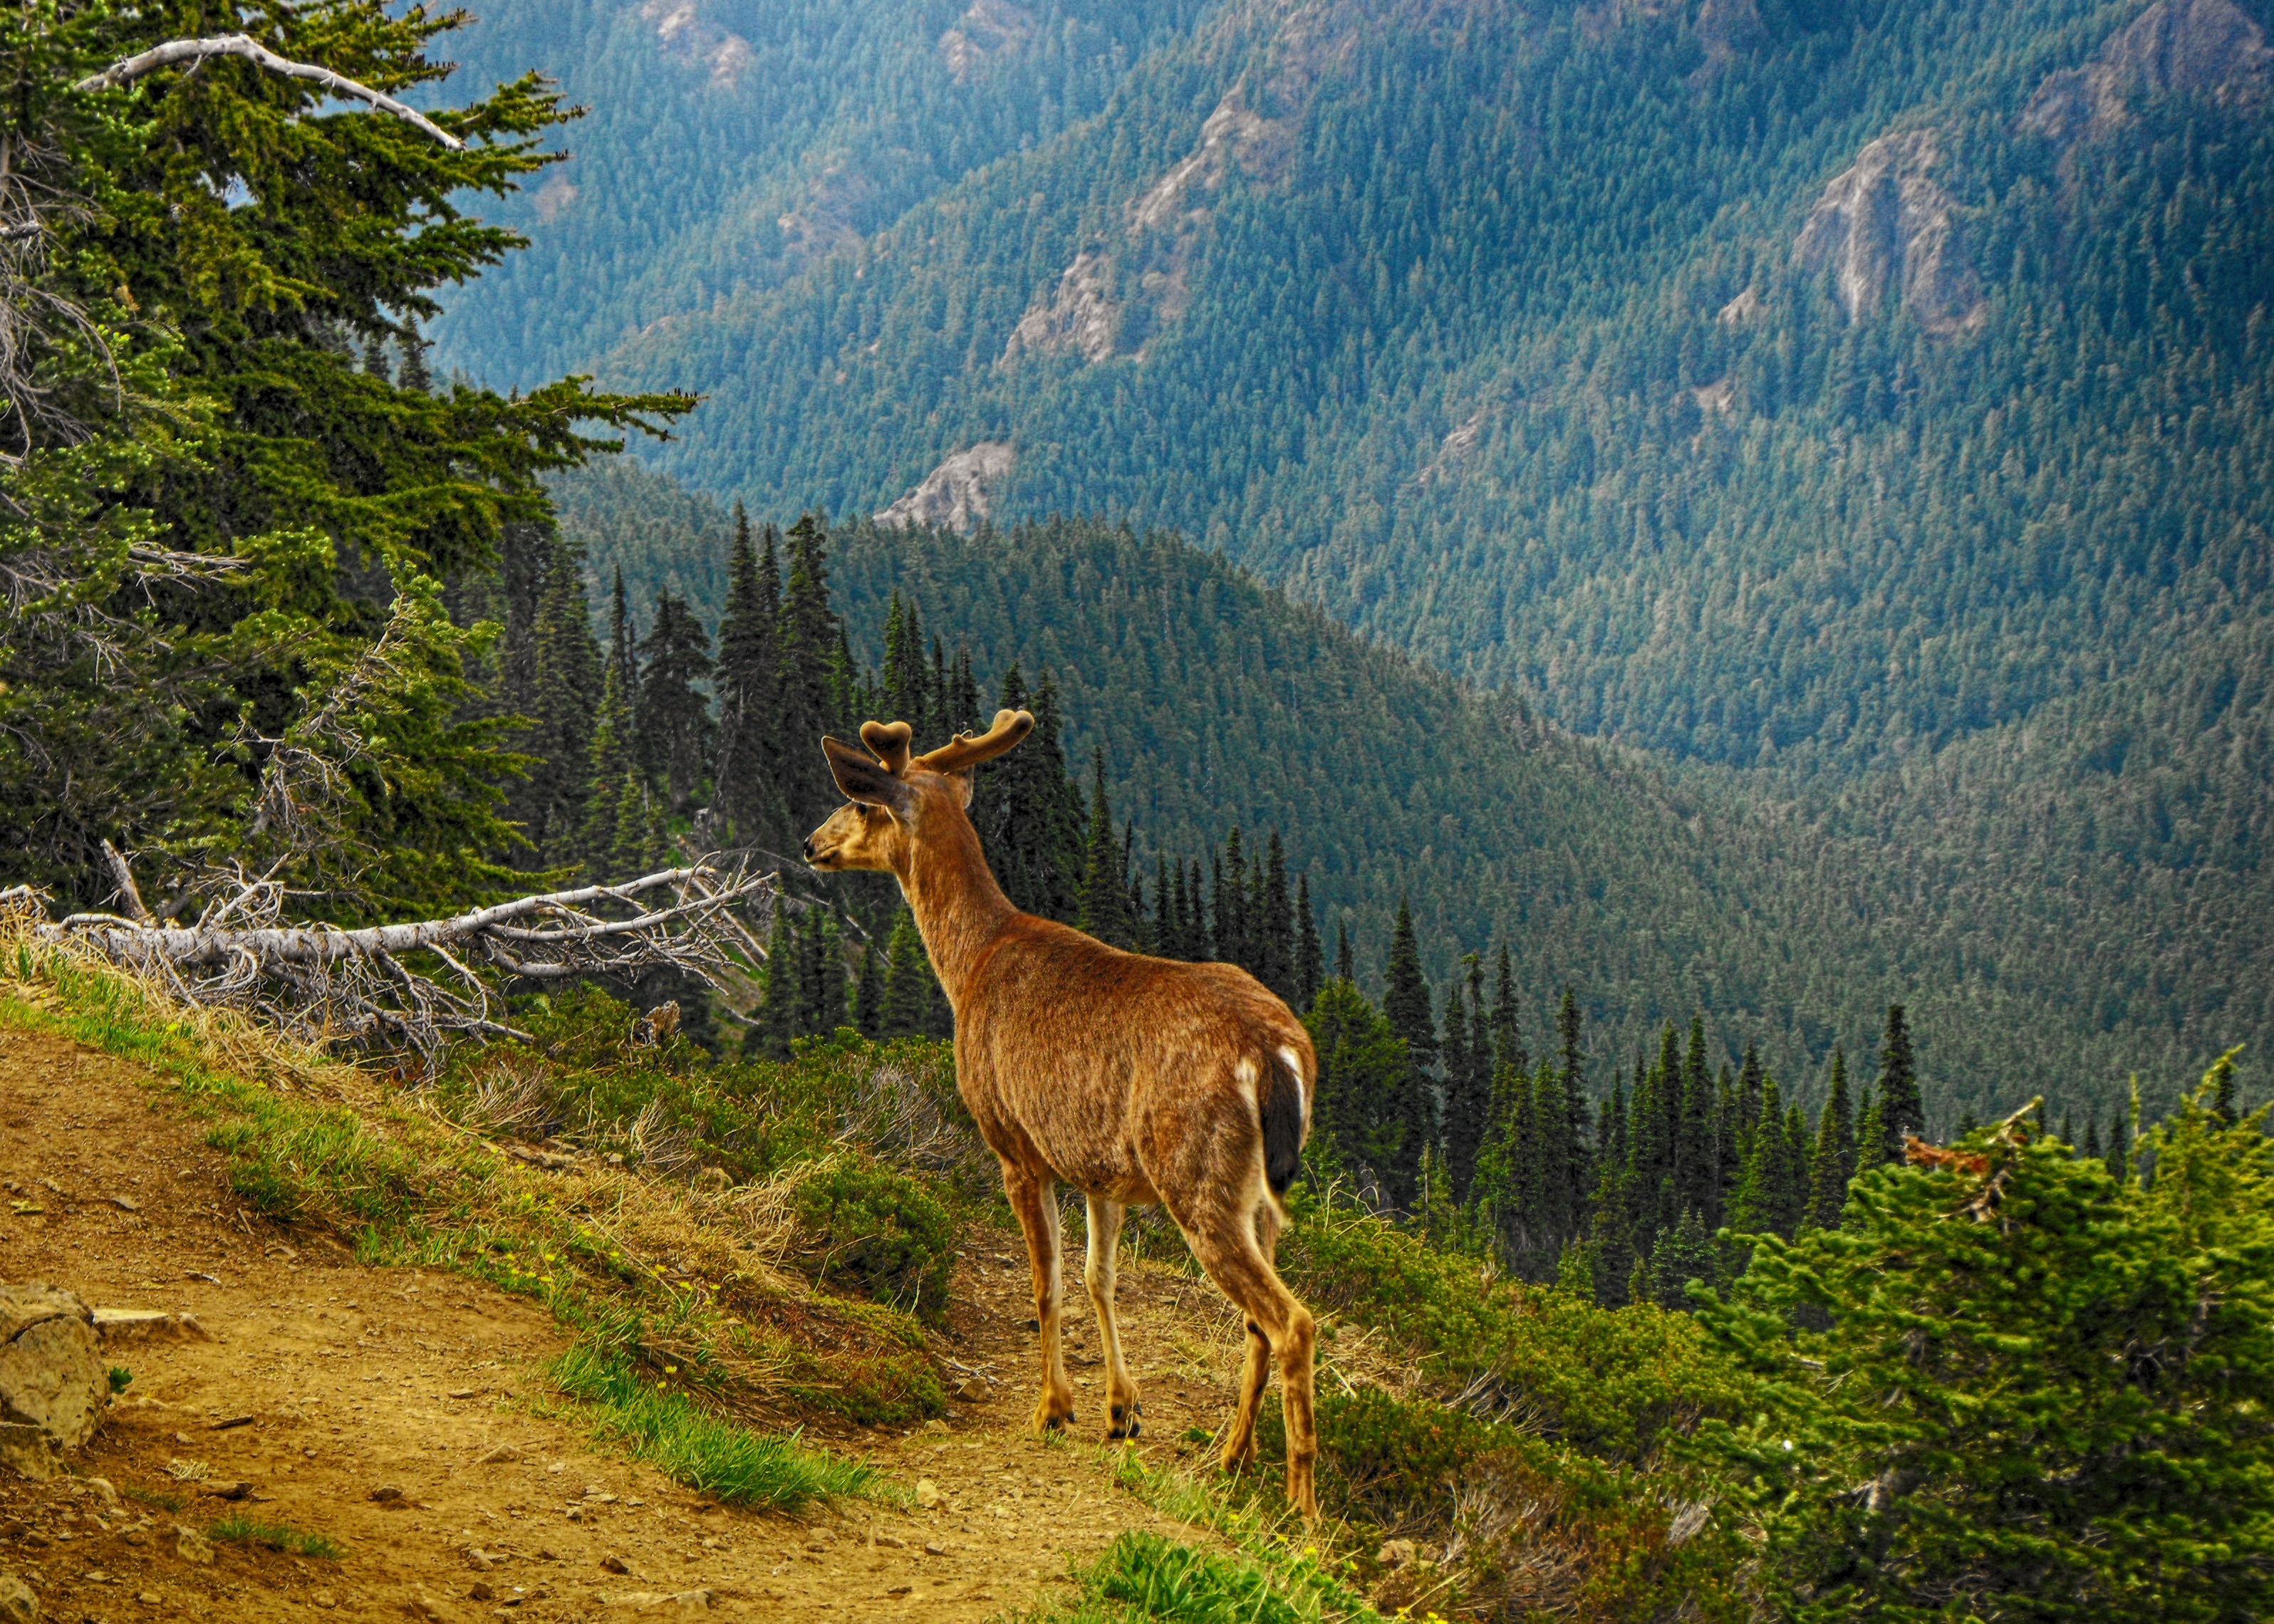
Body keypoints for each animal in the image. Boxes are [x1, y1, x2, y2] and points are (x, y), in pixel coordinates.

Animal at [809, 700, 1328, 1510]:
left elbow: (1047, 1283)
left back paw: (1298, 1512)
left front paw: (1052, 1408)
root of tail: (1275, 1050)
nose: (812, 844)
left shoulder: (1014, 1143)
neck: (970, 963)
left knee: (1292, 1321)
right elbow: (1098, 1278)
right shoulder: (1098, 1168)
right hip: (1254, 1191)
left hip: (1194, 1168)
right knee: (1257, 1323)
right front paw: (1122, 1411)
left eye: (860, 804)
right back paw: (1228, 1460)